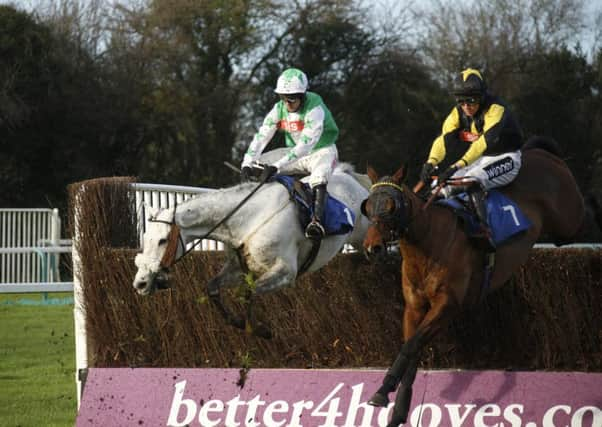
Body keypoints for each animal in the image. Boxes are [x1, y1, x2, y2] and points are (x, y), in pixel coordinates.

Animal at [132, 154, 370, 338]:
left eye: (162, 240)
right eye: (146, 238)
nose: (140, 283)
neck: (249, 220)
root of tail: (352, 178)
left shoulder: (285, 272)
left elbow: (248, 293)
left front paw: (260, 330)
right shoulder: (239, 268)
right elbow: (213, 288)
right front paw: (241, 324)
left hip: (364, 233)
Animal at [358, 137, 584, 427]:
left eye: (391, 206)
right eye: (367, 206)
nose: (372, 248)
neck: (428, 241)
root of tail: (540, 152)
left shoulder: (448, 304)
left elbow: (411, 346)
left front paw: (383, 391)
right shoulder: (414, 307)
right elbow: (412, 349)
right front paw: (395, 408)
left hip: (566, 219)